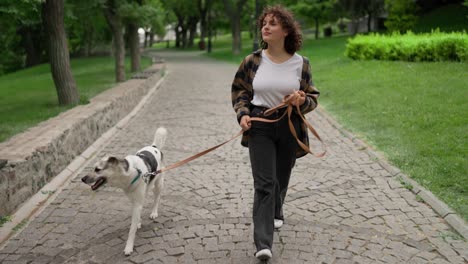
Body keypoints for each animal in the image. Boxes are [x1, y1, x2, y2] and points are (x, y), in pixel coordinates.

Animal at [81, 127, 167, 255]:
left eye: (97, 169)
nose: (82, 179)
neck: (129, 173)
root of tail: (154, 147)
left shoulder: (137, 202)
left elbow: (131, 230)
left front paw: (129, 247)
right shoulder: (133, 200)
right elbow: (136, 216)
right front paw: (138, 222)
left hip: (158, 183)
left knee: (157, 198)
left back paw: (154, 212)